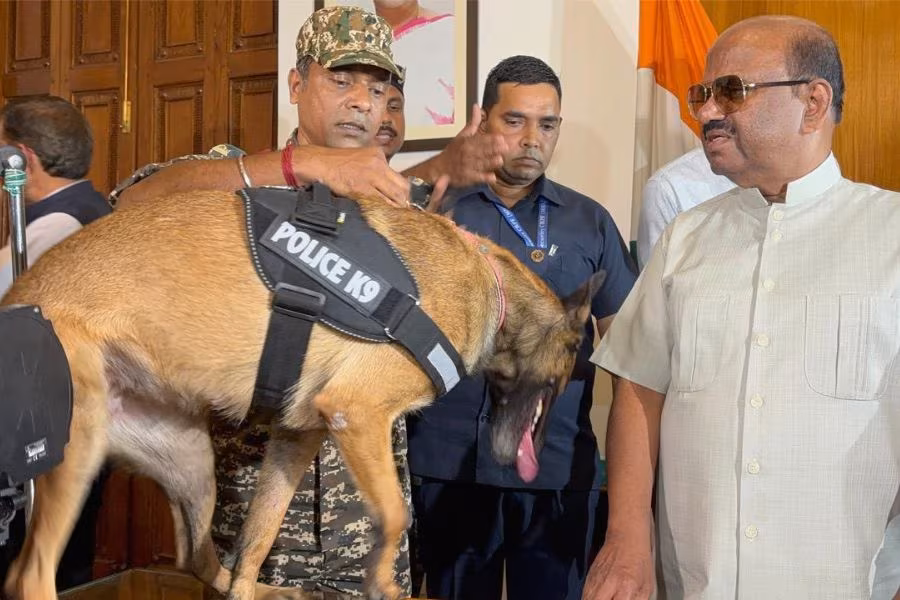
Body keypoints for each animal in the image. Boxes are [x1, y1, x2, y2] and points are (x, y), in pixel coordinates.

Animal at [1, 188, 604, 600]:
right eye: (574, 358)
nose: (544, 454)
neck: (493, 286)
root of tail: (17, 292)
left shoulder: (297, 437)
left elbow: (260, 533)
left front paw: (258, 582)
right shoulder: (358, 413)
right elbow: (395, 515)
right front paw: (382, 581)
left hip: (192, 467)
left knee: (202, 560)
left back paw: (264, 590)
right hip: (75, 451)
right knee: (28, 574)